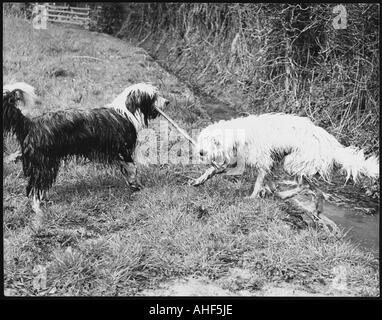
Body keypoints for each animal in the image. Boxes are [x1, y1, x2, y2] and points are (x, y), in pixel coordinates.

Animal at [2, 81, 167, 220]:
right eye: (154, 96)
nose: (167, 102)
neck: (127, 110)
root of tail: (31, 124)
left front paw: (132, 185)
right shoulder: (124, 151)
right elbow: (133, 169)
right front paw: (137, 186)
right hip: (45, 166)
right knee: (34, 189)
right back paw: (38, 209)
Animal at [194, 112, 380, 210]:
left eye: (215, 141)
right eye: (203, 139)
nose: (201, 152)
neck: (238, 136)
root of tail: (330, 145)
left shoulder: (263, 160)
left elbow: (258, 182)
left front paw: (253, 197)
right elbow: (214, 169)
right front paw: (200, 180)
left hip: (292, 162)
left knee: (305, 186)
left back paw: (284, 195)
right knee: (314, 189)